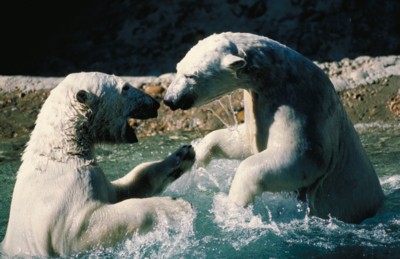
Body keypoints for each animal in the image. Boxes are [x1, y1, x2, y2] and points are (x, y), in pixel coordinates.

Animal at [1, 72, 195, 256]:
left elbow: (123, 188)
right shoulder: (62, 201)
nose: (155, 104)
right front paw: (176, 206)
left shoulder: (94, 179)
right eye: (125, 87)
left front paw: (183, 155)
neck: (60, 154)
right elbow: (85, 227)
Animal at [163, 32, 384, 223]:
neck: (278, 78)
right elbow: (245, 141)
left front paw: (232, 205)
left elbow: (296, 157)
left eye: (191, 75)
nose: (169, 100)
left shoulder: (301, 111)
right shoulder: (261, 103)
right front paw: (196, 155)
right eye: (178, 68)